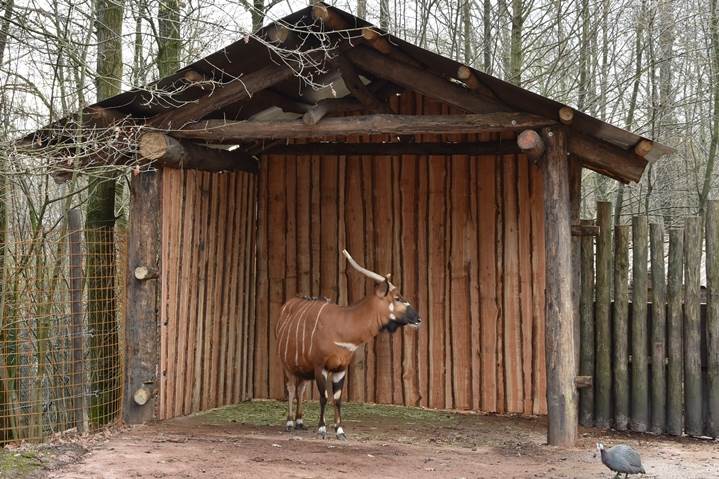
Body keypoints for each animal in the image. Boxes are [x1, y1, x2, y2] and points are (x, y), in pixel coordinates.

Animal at [276, 249, 422, 440]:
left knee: (300, 389)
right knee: (292, 388)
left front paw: (340, 431)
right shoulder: (320, 366)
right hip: (286, 365)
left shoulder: (341, 368)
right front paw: (322, 429)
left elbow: (337, 398)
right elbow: (324, 397)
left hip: (302, 369)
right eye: (397, 298)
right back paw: (289, 423)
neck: (343, 326)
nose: (418, 319)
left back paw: (300, 422)